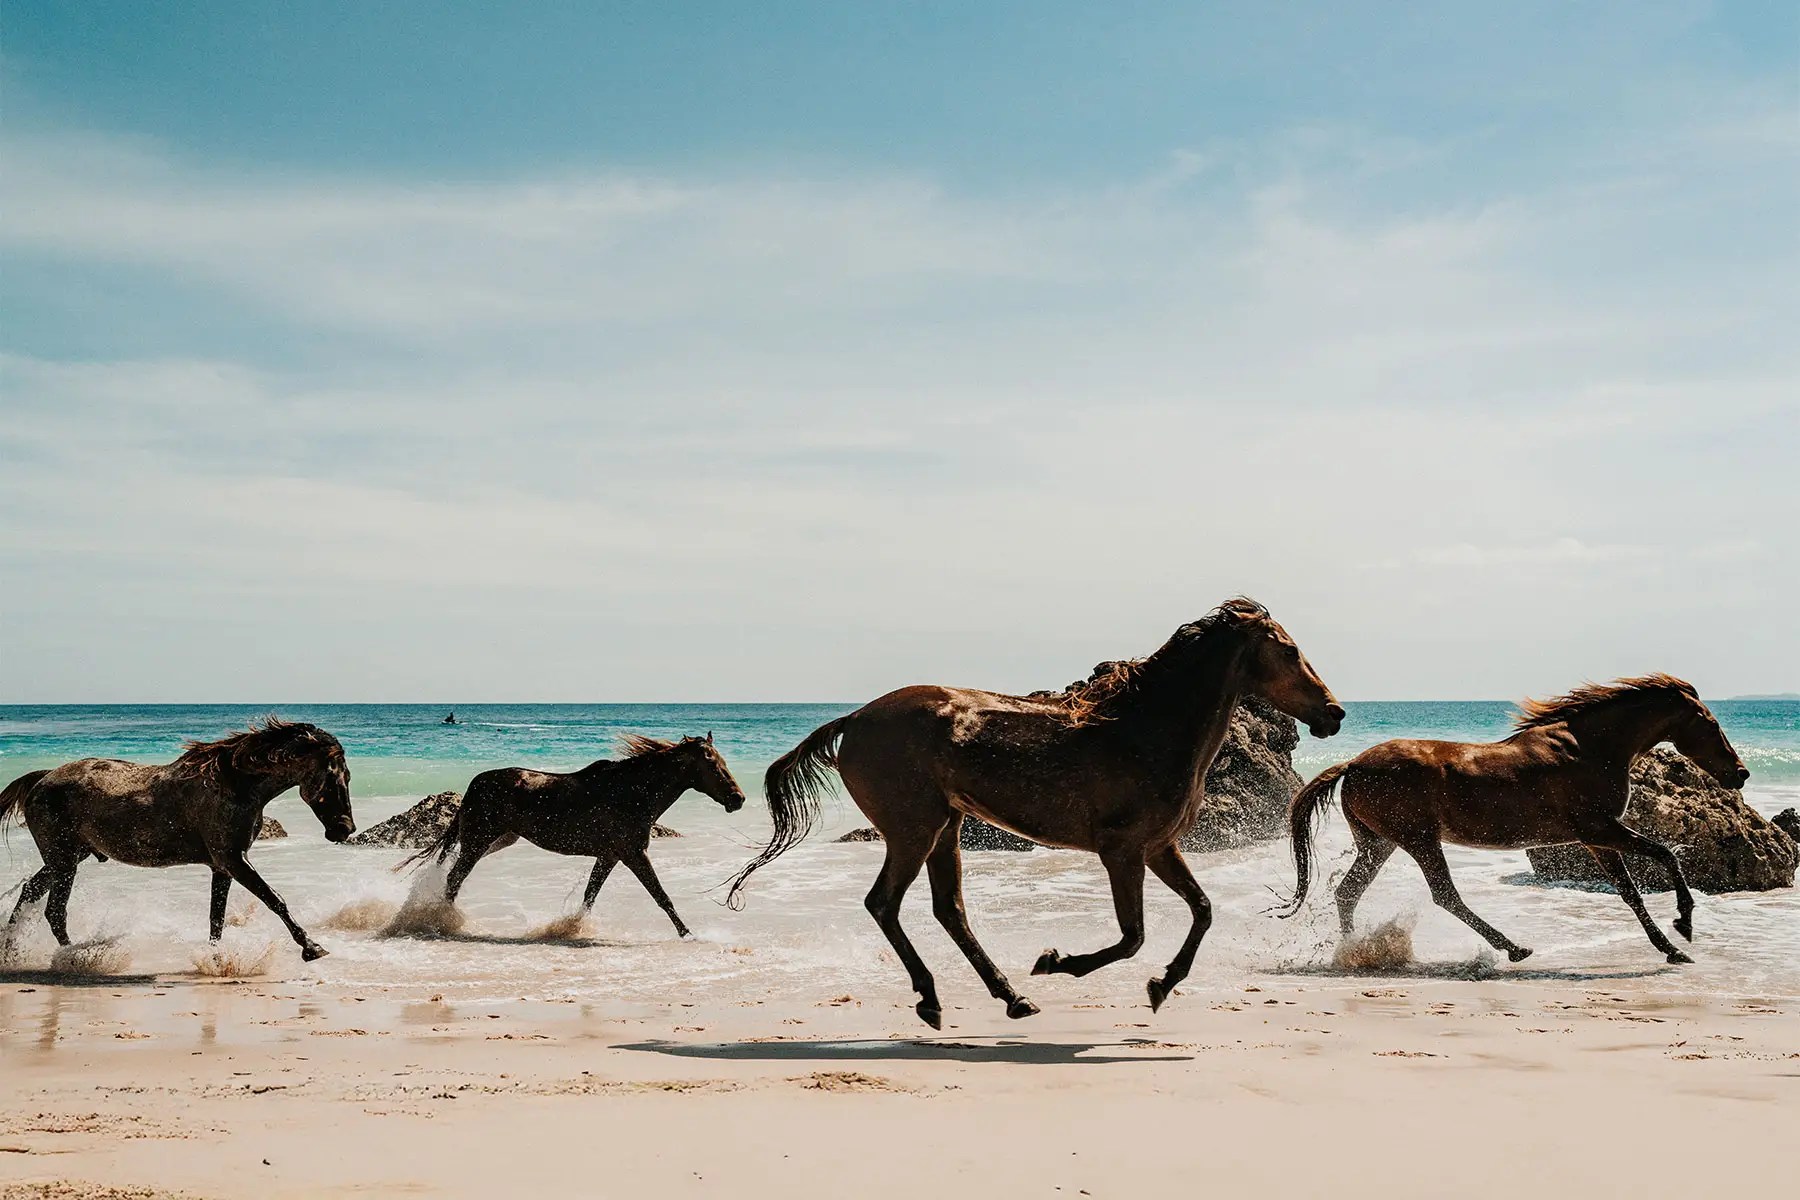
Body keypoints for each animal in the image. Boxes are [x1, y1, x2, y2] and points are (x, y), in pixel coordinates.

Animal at [0, 717, 355, 961]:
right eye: (336, 776)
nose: (345, 829)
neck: (235, 784)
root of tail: (42, 779)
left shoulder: (222, 867)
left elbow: (217, 919)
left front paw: (215, 960)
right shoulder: (233, 859)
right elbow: (275, 899)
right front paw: (312, 947)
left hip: (69, 857)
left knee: (31, 893)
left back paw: (13, 951)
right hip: (63, 862)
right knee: (55, 911)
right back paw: (74, 956)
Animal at [405, 733, 746, 937]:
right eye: (713, 764)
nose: (738, 799)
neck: (632, 791)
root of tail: (474, 784)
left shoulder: (610, 856)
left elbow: (590, 895)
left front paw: (572, 928)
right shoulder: (634, 854)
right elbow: (662, 896)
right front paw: (689, 934)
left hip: (497, 841)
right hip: (478, 842)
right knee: (454, 879)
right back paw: (446, 922)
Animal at [725, 598, 1344, 1028]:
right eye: (1289, 650)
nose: (1334, 713)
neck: (1147, 729)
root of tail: (853, 719)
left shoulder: (1160, 848)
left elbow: (1203, 910)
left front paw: (1161, 986)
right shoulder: (1122, 852)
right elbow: (1133, 936)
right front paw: (1057, 962)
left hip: (946, 828)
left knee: (949, 911)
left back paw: (1011, 999)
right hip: (912, 831)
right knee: (885, 904)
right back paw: (935, 999)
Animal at [1280, 674, 1749, 965]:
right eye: (1710, 724)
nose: (1741, 773)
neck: (1589, 747)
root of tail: (1354, 763)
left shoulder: (1596, 839)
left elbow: (1630, 893)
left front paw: (1671, 949)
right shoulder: (1600, 828)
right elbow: (1666, 854)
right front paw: (1684, 924)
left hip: (1380, 842)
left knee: (1348, 892)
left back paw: (1352, 952)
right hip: (1418, 840)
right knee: (1444, 896)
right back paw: (1514, 948)